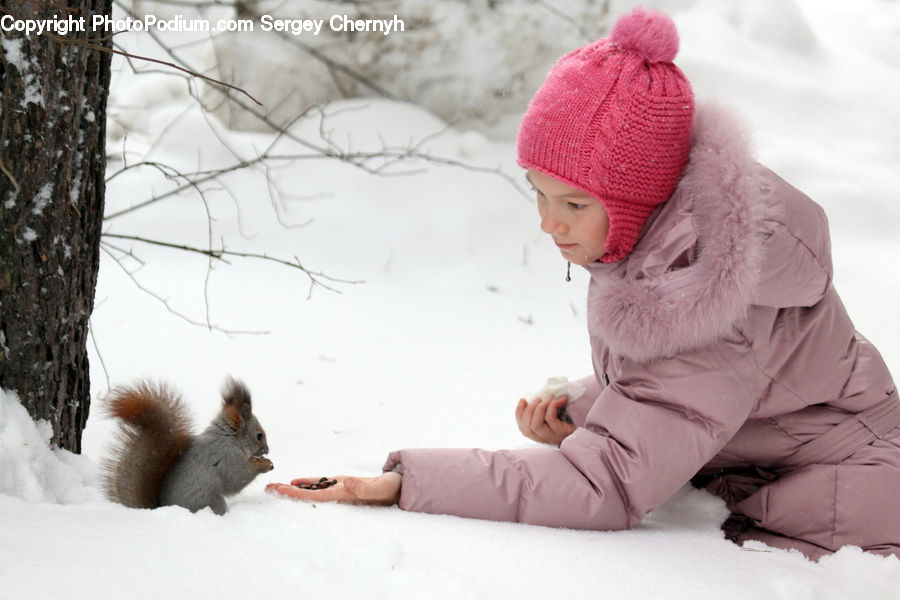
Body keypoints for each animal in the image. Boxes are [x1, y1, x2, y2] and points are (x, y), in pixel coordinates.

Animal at [101, 376, 273, 515]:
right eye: (259, 435)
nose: (267, 450)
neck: (229, 439)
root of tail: (160, 507)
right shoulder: (227, 458)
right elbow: (237, 478)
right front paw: (264, 464)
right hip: (209, 500)